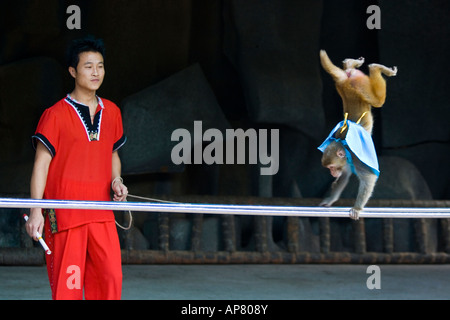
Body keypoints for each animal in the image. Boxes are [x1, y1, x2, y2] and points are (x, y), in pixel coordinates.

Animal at [316, 50, 398, 220]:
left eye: (331, 167)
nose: (332, 173)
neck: (342, 144)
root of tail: (345, 80)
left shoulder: (355, 158)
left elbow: (369, 179)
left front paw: (357, 208)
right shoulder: (346, 162)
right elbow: (344, 177)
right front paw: (329, 200)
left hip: (360, 85)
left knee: (378, 99)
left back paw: (374, 67)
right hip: (346, 85)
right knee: (349, 74)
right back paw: (351, 64)